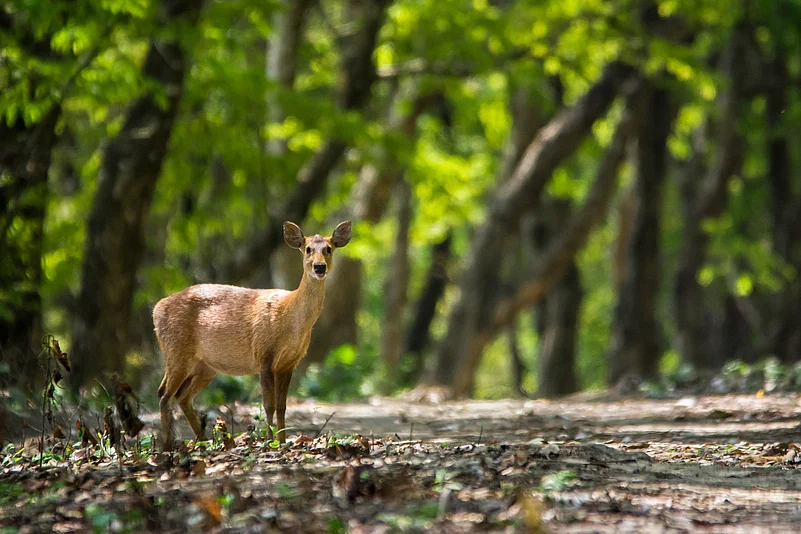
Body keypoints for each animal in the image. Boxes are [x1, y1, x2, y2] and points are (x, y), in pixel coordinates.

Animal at [153, 220, 352, 449]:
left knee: (182, 396)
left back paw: (202, 441)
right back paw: (168, 446)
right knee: (164, 394)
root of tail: (156, 309)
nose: (320, 267)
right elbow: (268, 405)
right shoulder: (264, 354)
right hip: (176, 350)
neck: (289, 316)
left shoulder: (289, 362)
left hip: (204, 365)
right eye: (308, 248)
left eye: (329, 248)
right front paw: (269, 441)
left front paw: (282, 441)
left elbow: (282, 405)